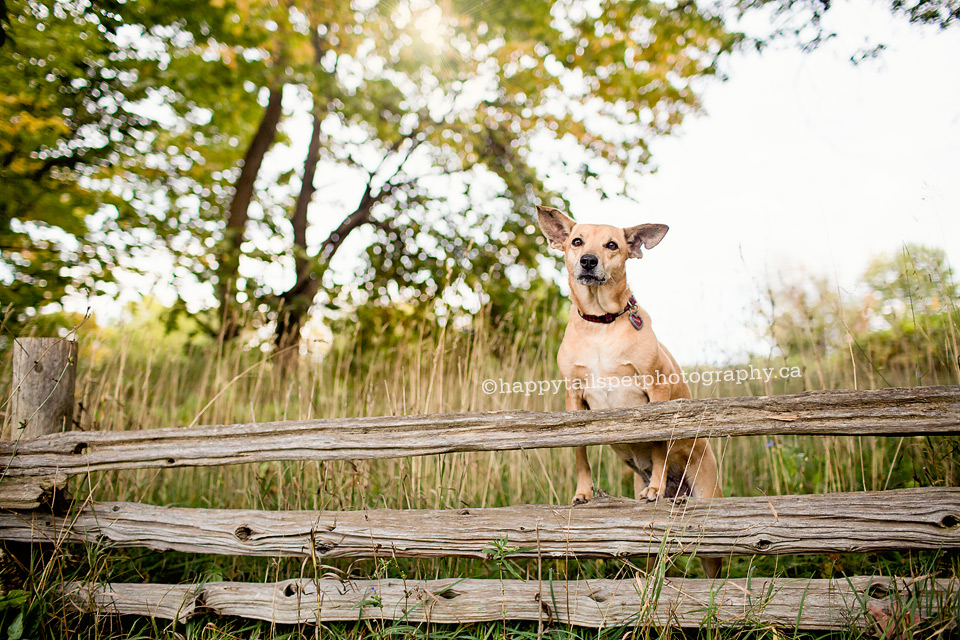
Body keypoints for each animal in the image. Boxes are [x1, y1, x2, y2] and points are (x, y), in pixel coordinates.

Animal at [540, 206, 720, 580]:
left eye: (612, 245)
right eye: (576, 241)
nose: (589, 260)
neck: (600, 324)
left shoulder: (656, 390)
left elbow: (659, 445)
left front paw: (655, 485)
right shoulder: (573, 398)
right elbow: (580, 453)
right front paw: (583, 493)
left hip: (705, 496)